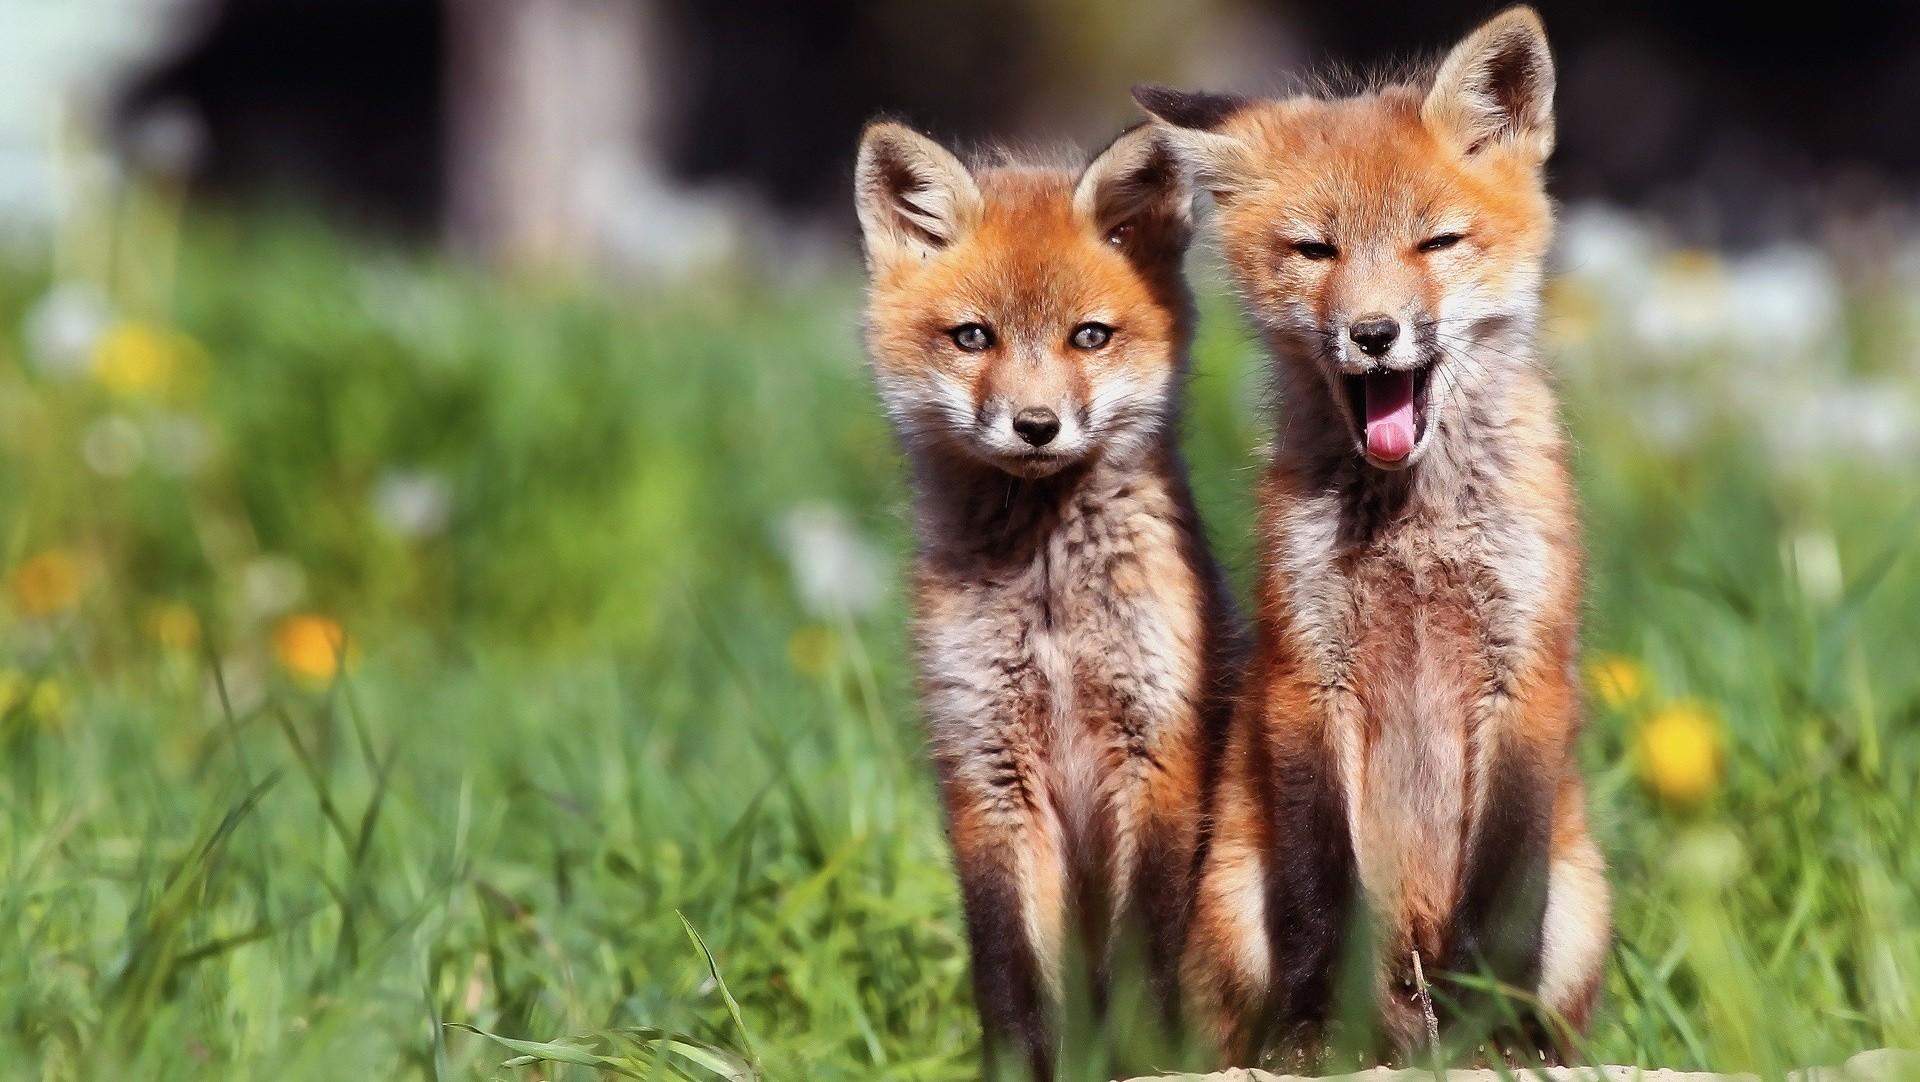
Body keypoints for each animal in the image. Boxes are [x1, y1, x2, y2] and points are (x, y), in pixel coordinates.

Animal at [852, 120, 1240, 1080]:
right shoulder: (986, 770)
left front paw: (1140, 1058)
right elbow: (1009, 976)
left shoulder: (1157, 754)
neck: (1052, 602)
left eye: (1089, 336)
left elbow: (1140, 962)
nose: (1035, 426)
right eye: (973, 337)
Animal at [1132, 5, 1610, 1066]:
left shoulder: (1525, 672)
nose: (1376, 334)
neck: (1414, 530)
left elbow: (1499, 901)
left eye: (1437, 241)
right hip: (1235, 902)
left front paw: (1491, 1030)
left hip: (1582, 905)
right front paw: (1321, 1026)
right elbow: (1321, 893)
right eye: (1317, 250)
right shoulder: (1310, 671)